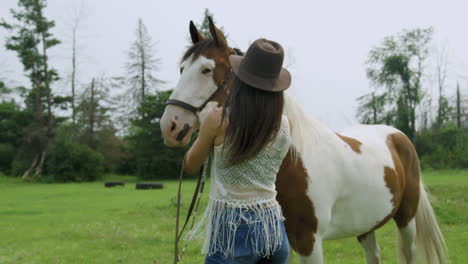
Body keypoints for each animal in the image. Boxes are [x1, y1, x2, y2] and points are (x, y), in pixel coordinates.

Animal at [160, 17, 446, 262]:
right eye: (182, 69)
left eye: (207, 69)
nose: (170, 126)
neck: (293, 162)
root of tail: (399, 137)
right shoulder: (279, 240)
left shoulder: (310, 243)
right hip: (366, 223)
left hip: (406, 219)